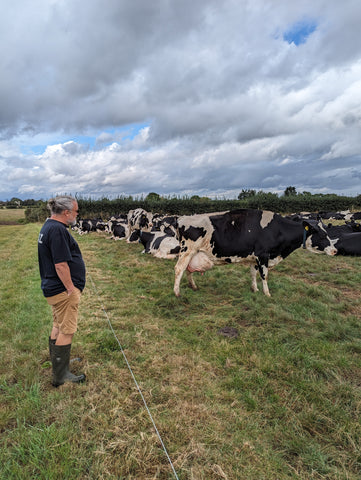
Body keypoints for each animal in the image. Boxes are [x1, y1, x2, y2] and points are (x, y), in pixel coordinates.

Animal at [173, 209, 336, 296]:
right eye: (322, 236)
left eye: (327, 232)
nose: (335, 250)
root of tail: (181, 218)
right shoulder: (263, 255)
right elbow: (264, 275)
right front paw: (267, 293)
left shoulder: (254, 258)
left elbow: (253, 273)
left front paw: (255, 289)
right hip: (187, 250)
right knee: (179, 269)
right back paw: (177, 292)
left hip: (193, 253)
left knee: (188, 270)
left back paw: (193, 286)